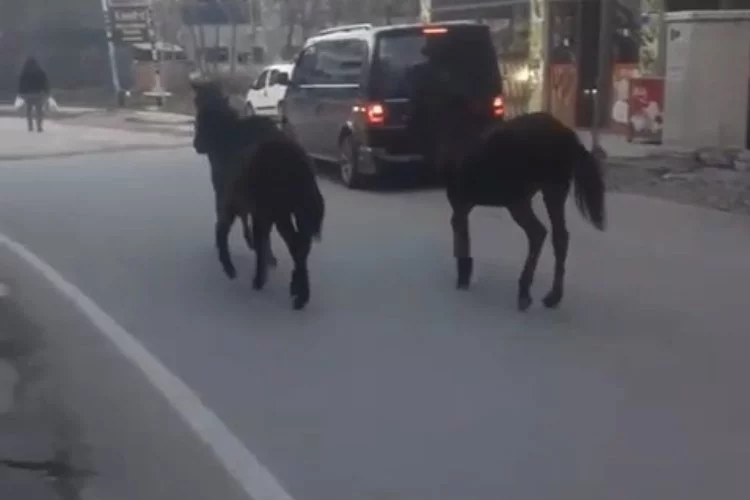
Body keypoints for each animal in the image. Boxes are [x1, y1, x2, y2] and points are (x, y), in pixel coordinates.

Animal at [192, 80, 324, 308]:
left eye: (200, 117)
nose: (196, 144)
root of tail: (295, 162)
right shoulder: (252, 208)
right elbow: (259, 236)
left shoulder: (227, 197)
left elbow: (223, 229)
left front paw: (230, 267)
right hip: (297, 209)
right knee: (300, 245)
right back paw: (299, 293)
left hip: (276, 208)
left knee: (293, 243)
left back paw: (263, 281)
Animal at [450, 111, 608, 310]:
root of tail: (568, 138)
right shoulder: (464, 204)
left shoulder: (459, 202)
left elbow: (461, 240)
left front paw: (462, 279)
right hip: (554, 190)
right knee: (560, 237)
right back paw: (552, 297)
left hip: (519, 199)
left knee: (538, 233)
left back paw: (524, 294)